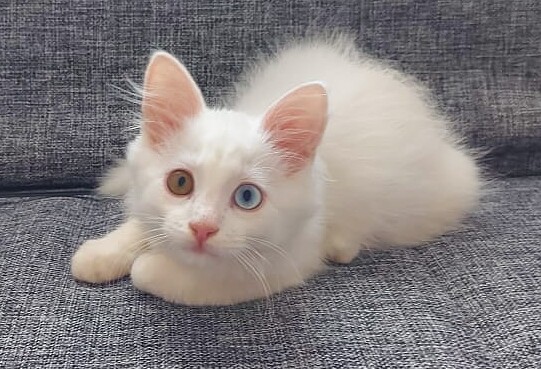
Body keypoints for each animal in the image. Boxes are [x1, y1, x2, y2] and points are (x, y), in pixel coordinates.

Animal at [69, 37, 478, 304]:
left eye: (247, 197)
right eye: (180, 183)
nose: (202, 228)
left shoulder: (283, 265)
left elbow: (162, 276)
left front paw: (149, 265)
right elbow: (138, 228)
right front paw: (98, 255)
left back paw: (343, 246)